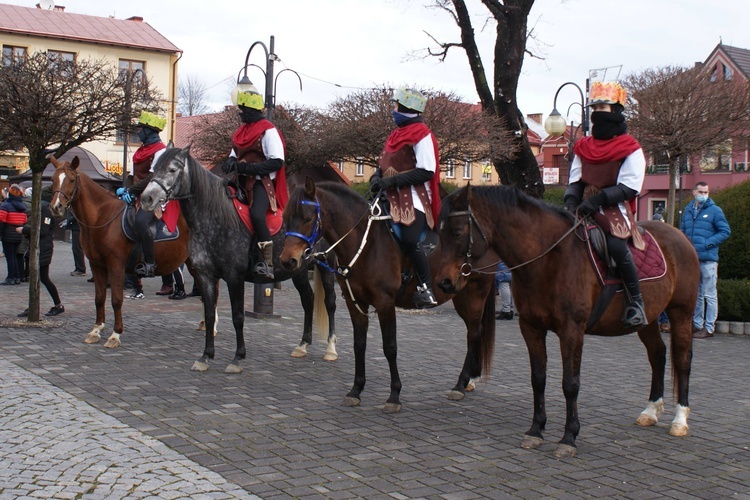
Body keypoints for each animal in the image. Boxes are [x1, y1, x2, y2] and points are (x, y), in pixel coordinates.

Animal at [48, 156, 191, 348]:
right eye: (52, 180)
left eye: (71, 180)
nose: (56, 207)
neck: (102, 218)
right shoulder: (97, 265)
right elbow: (99, 298)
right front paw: (96, 330)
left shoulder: (116, 264)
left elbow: (116, 300)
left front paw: (115, 334)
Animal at [140, 145, 340, 372]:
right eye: (154, 167)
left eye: (173, 169)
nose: (147, 198)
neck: (214, 219)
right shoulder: (206, 276)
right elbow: (209, 315)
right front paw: (206, 356)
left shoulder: (234, 277)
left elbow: (238, 317)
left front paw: (238, 357)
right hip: (297, 269)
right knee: (308, 299)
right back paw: (303, 345)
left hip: (326, 266)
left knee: (330, 302)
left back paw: (330, 349)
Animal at [278, 178, 500, 412]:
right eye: (285, 218)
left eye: (308, 218)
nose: (288, 260)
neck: (366, 244)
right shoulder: (355, 304)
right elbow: (359, 345)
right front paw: (356, 390)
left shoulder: (385, 304)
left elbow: (390, 347)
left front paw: (394, 395)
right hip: (461, 298)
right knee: (474, 333)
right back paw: (470, 380)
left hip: (474, 296)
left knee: (474, 334)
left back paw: (461, 384)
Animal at [438, 185, 704, 458]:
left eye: (457, 231)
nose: (444, 282)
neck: (548, 259)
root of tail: (679, 235)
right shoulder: (531, 328)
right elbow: (538, 378)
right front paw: (536, 430)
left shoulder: (571, 330)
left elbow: (570, 384)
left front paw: (569, 436)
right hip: (649, 319)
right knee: (658, 355)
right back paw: (650, 410)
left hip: (681, 313)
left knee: (683, 360)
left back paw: (680, 419)